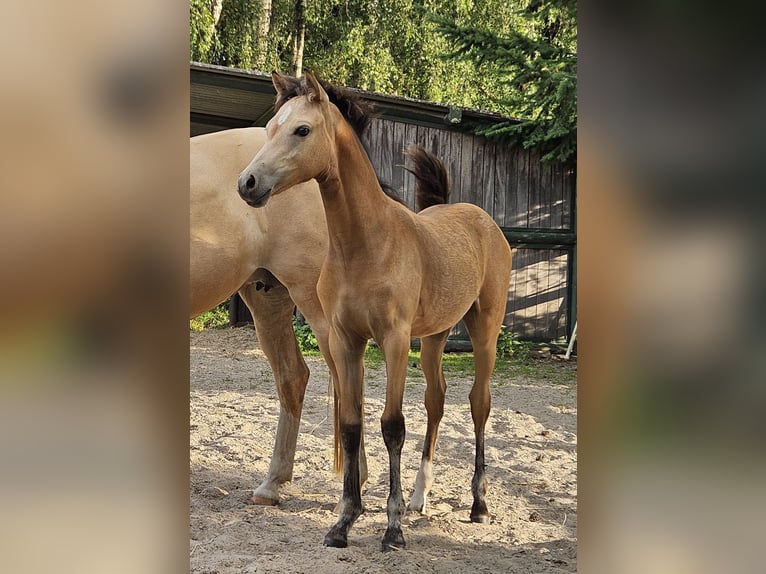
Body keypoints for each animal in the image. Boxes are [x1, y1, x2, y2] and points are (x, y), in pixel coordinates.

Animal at [238, 73, 516, 552]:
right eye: (271, 127)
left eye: (302, 130)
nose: (248, 183)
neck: (366, 245)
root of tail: (483, 220)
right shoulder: (345, 340)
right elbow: (352, 425)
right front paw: (344, 523)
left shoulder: (394, 340)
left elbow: (391, 425)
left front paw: (392, 528)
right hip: (435, 336)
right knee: (437, 400)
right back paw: (421, 498)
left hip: (484, 331)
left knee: (479, 404)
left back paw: (478, 505)